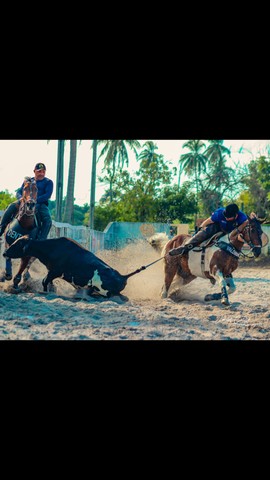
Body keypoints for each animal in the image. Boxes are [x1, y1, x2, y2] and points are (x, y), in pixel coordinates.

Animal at [3, 235, 138, 296]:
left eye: (17, 244)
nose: (4, 253)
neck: (52, 248)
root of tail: (123, 276)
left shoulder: (55, 271)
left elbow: (44, 281)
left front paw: (45, 292)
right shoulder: (51, 272)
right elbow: (48, 282)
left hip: (106, 291)